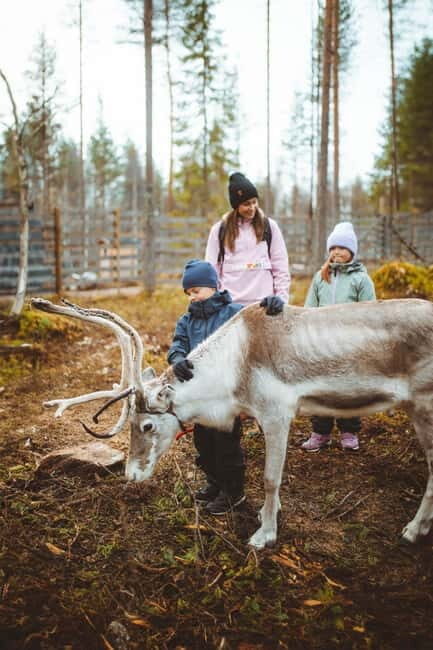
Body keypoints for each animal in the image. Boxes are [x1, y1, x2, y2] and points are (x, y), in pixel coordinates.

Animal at [31, 296, 433, 550]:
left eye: (146, 426)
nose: (131, 475)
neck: (232, 372)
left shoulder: (277, 413)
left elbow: (270, 478)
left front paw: (264, 533)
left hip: (425, 404)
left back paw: (413, 530)